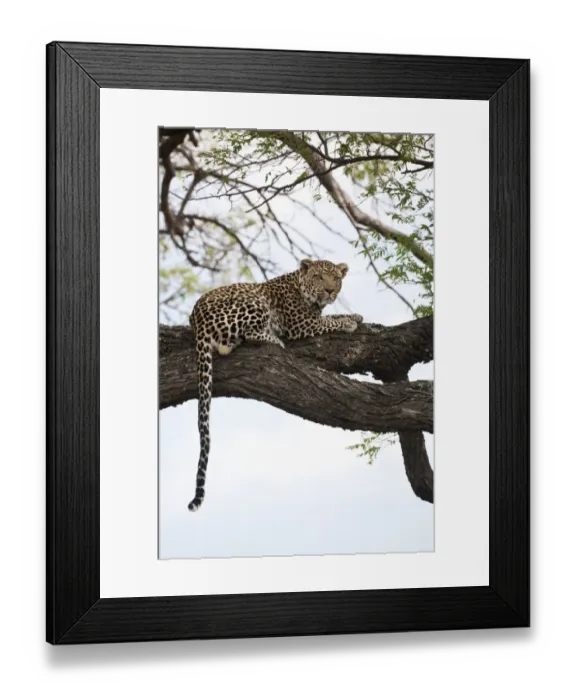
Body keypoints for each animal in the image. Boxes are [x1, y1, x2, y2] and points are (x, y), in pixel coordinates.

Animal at [187, 258, 363, 512]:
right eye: (319, 277)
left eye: (336, 278)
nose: (330, 291)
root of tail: (197, 321)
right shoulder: (302, 324)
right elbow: (330, 321)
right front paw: (349, 321)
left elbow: (330, 316)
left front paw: (356, 316)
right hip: (255, 301)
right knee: (247, 335)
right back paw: (275, 340)